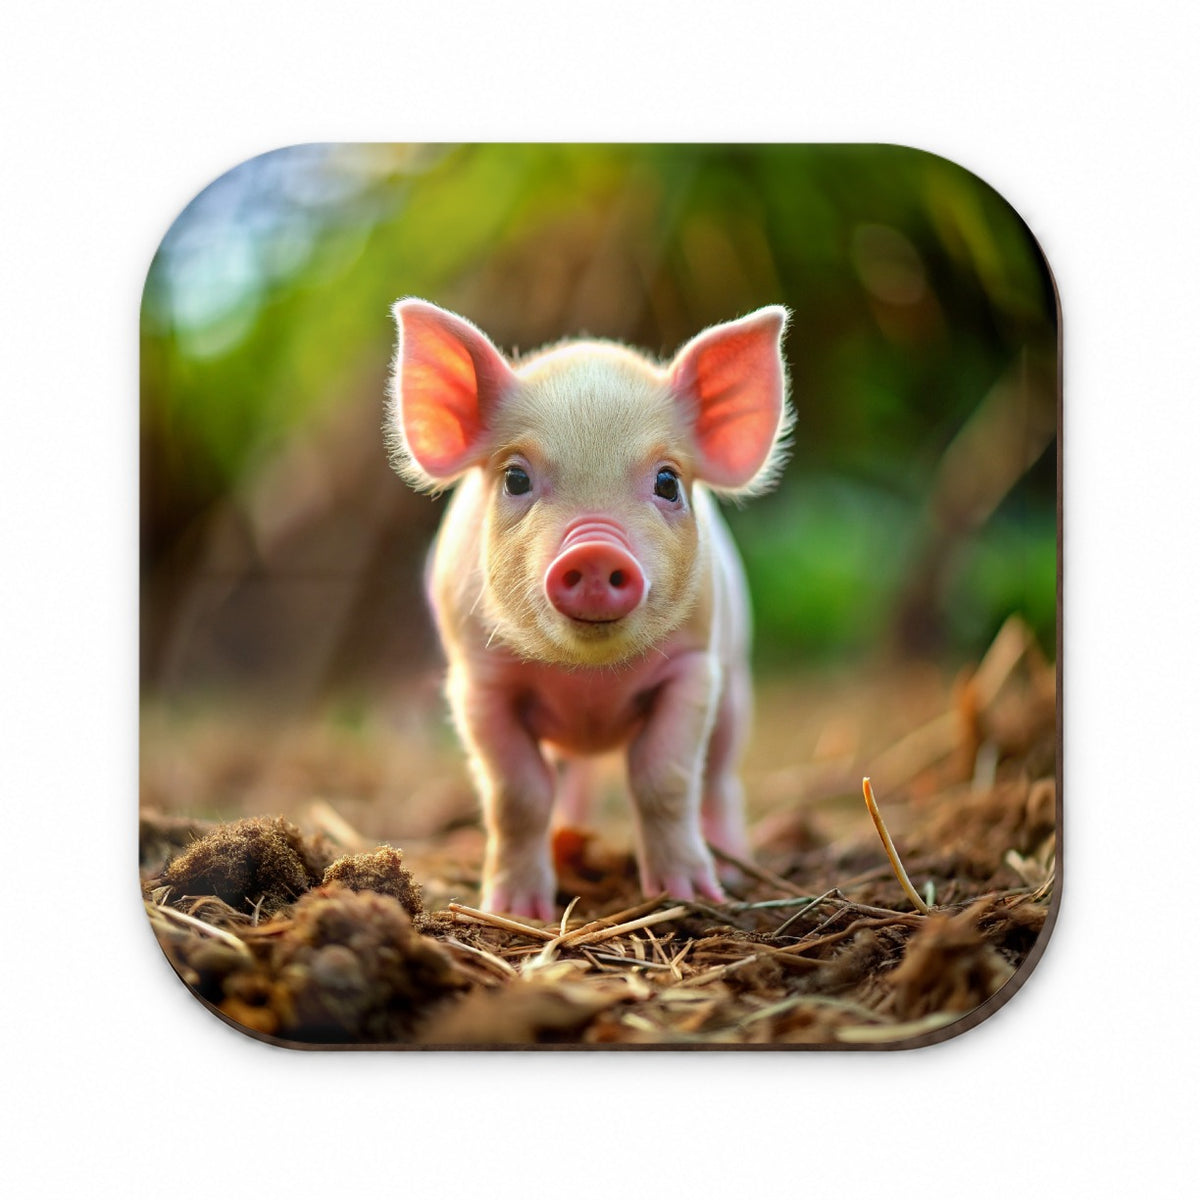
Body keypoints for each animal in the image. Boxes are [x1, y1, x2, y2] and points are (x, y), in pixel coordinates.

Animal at [386, 298, 791, 919]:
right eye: (515, 477)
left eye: (668, 481)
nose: (596, 550)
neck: (589, 680)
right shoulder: (478, 684)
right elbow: (517, 793)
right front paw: (515, 910)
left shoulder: (694, 669)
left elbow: (664, 777)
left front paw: (687, 895)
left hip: (736, 688)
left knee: (721, 777)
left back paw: (730, 870)